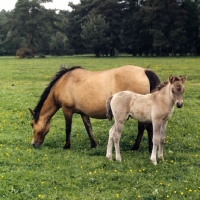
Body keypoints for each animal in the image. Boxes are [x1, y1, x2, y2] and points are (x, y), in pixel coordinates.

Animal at [28, 65, 159, 150]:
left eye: (32, 124)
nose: (33, 144)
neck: (64, 82)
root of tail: (144, 71)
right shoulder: (83, 113)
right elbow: (88, 127)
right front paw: (93, 145)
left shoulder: (67, 110)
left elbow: (68, 128)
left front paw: (66, 146)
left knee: (145, 127)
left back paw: (141, 147)